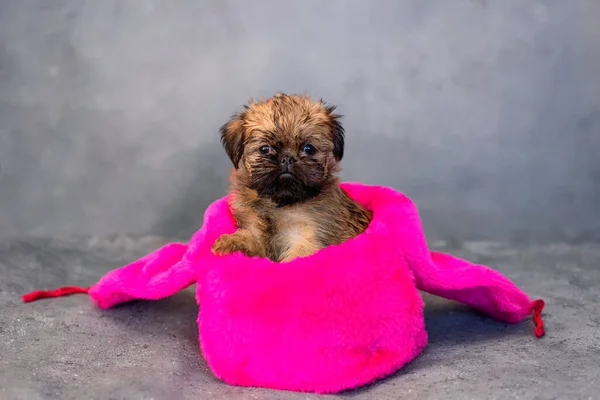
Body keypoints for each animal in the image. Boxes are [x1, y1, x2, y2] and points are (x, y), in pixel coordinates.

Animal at [211, 93, 370, 262]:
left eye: (308, 148)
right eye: (264, 149)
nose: (287, 158)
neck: (281, 202)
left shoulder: (306, 239)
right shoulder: (255, 231)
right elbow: (250, 238)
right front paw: (228, 242)